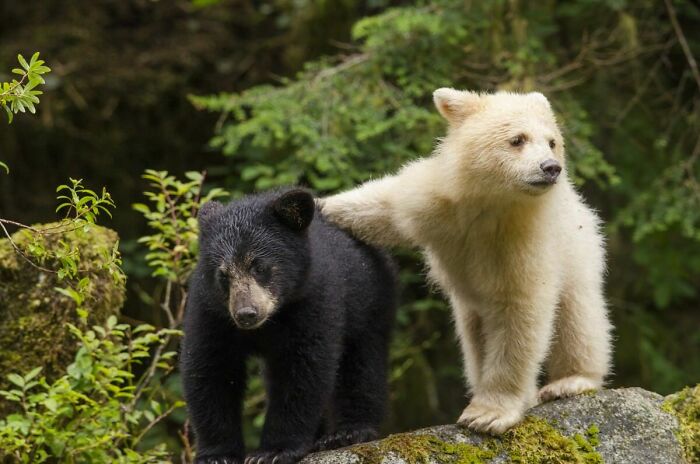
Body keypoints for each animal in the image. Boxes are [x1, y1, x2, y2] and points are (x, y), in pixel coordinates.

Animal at [180, 188, 397, 464]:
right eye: (223, 275)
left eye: (259, 267)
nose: (246, 314)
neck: (270, 321)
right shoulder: (211, 311)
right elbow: (211, 370)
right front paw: (217, 454)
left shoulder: (312, 299)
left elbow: (302, 368)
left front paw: (274, 451)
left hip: (370, 300)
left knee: (362, 364)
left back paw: (348, 432)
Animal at [319, 89, 612, 434]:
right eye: (518, 139)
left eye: (552, 141)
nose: (551, 167)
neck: (489, 204)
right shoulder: (438, 200)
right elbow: (383, 206)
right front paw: (318, 204)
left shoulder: (522, 240)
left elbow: (520, 310)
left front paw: (488, 414)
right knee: (473, 337)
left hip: (577, 248)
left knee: (577, 312)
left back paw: (571, 381)